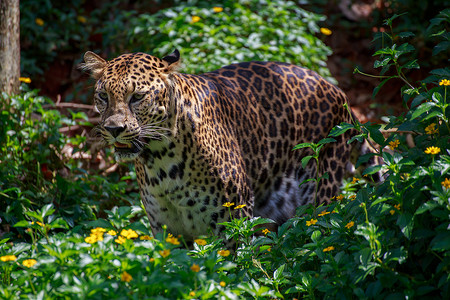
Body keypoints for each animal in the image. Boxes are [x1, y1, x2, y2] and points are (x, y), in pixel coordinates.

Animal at [81, 49, 358, 241]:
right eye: (103, 96)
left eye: (137, 97)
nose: (113, 129)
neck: (161, 160)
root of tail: (335, 89)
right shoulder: (165, 228)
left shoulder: (233, 218)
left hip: (319, 195)